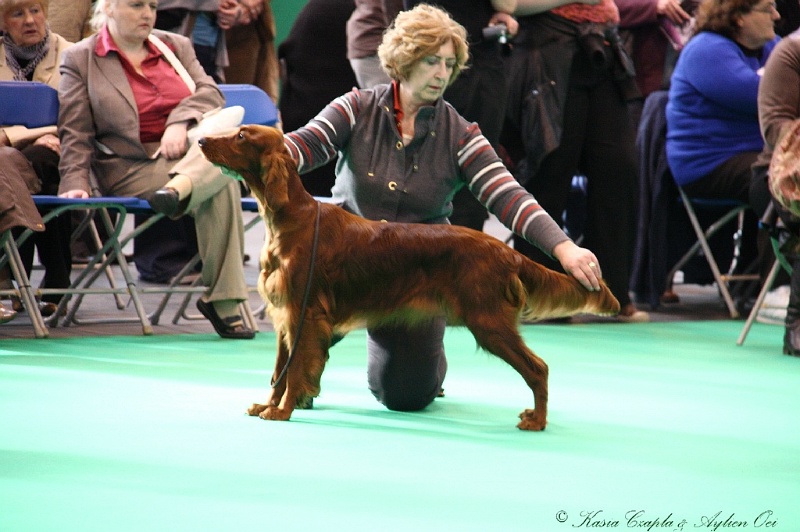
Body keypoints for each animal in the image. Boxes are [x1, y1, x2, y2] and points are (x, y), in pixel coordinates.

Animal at [198, 125, 620, 432]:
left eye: (241, 136)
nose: (201, 139)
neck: (290, 219)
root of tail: (505, 250)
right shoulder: (286, 316)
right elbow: (279, 371)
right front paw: (269, 405)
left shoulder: (305, 314)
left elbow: (295, 369)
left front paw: (283, 411)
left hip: (489, 322)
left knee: (538, 368)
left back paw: (537, 421)